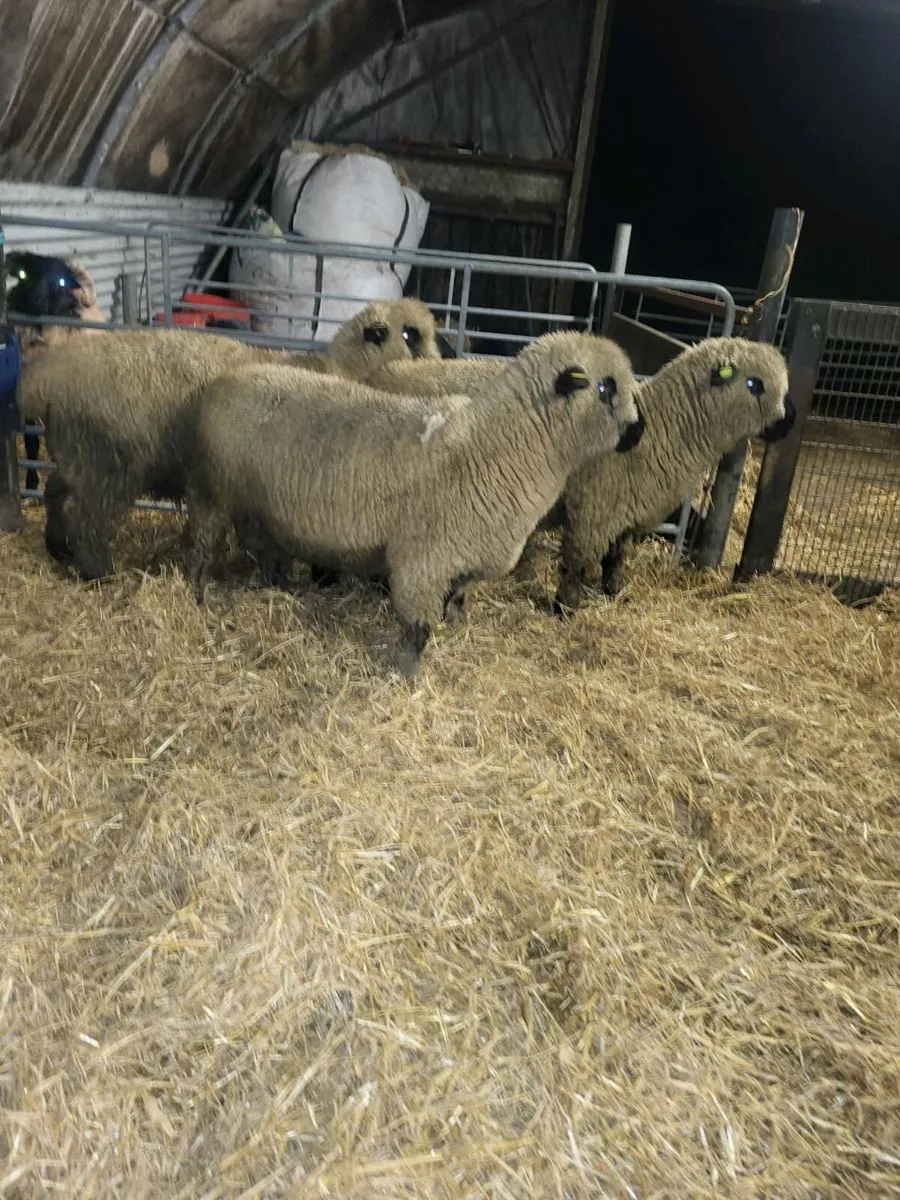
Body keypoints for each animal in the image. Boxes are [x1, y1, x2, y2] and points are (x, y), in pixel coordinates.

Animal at [184, 330, 643, 677]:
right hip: (211, 492)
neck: (495, 447)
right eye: (605, 388)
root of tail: (224, 381)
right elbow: (418, 628)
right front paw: (407, 674)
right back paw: (199, 594)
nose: (639, 431)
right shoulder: (422, 561)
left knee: (262, 546)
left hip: (255, 507)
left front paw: (457, 628)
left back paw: (280, 583)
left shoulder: (461, 556)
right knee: (202, 545)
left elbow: (457, 597)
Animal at [519, 336, 796, 613]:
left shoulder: (622, 513)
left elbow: (615, 558)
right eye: (754, 384)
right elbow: (577, 565)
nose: (791, 419)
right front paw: (566, 608)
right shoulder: (592, 514)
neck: (661, 429)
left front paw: (616, 593)